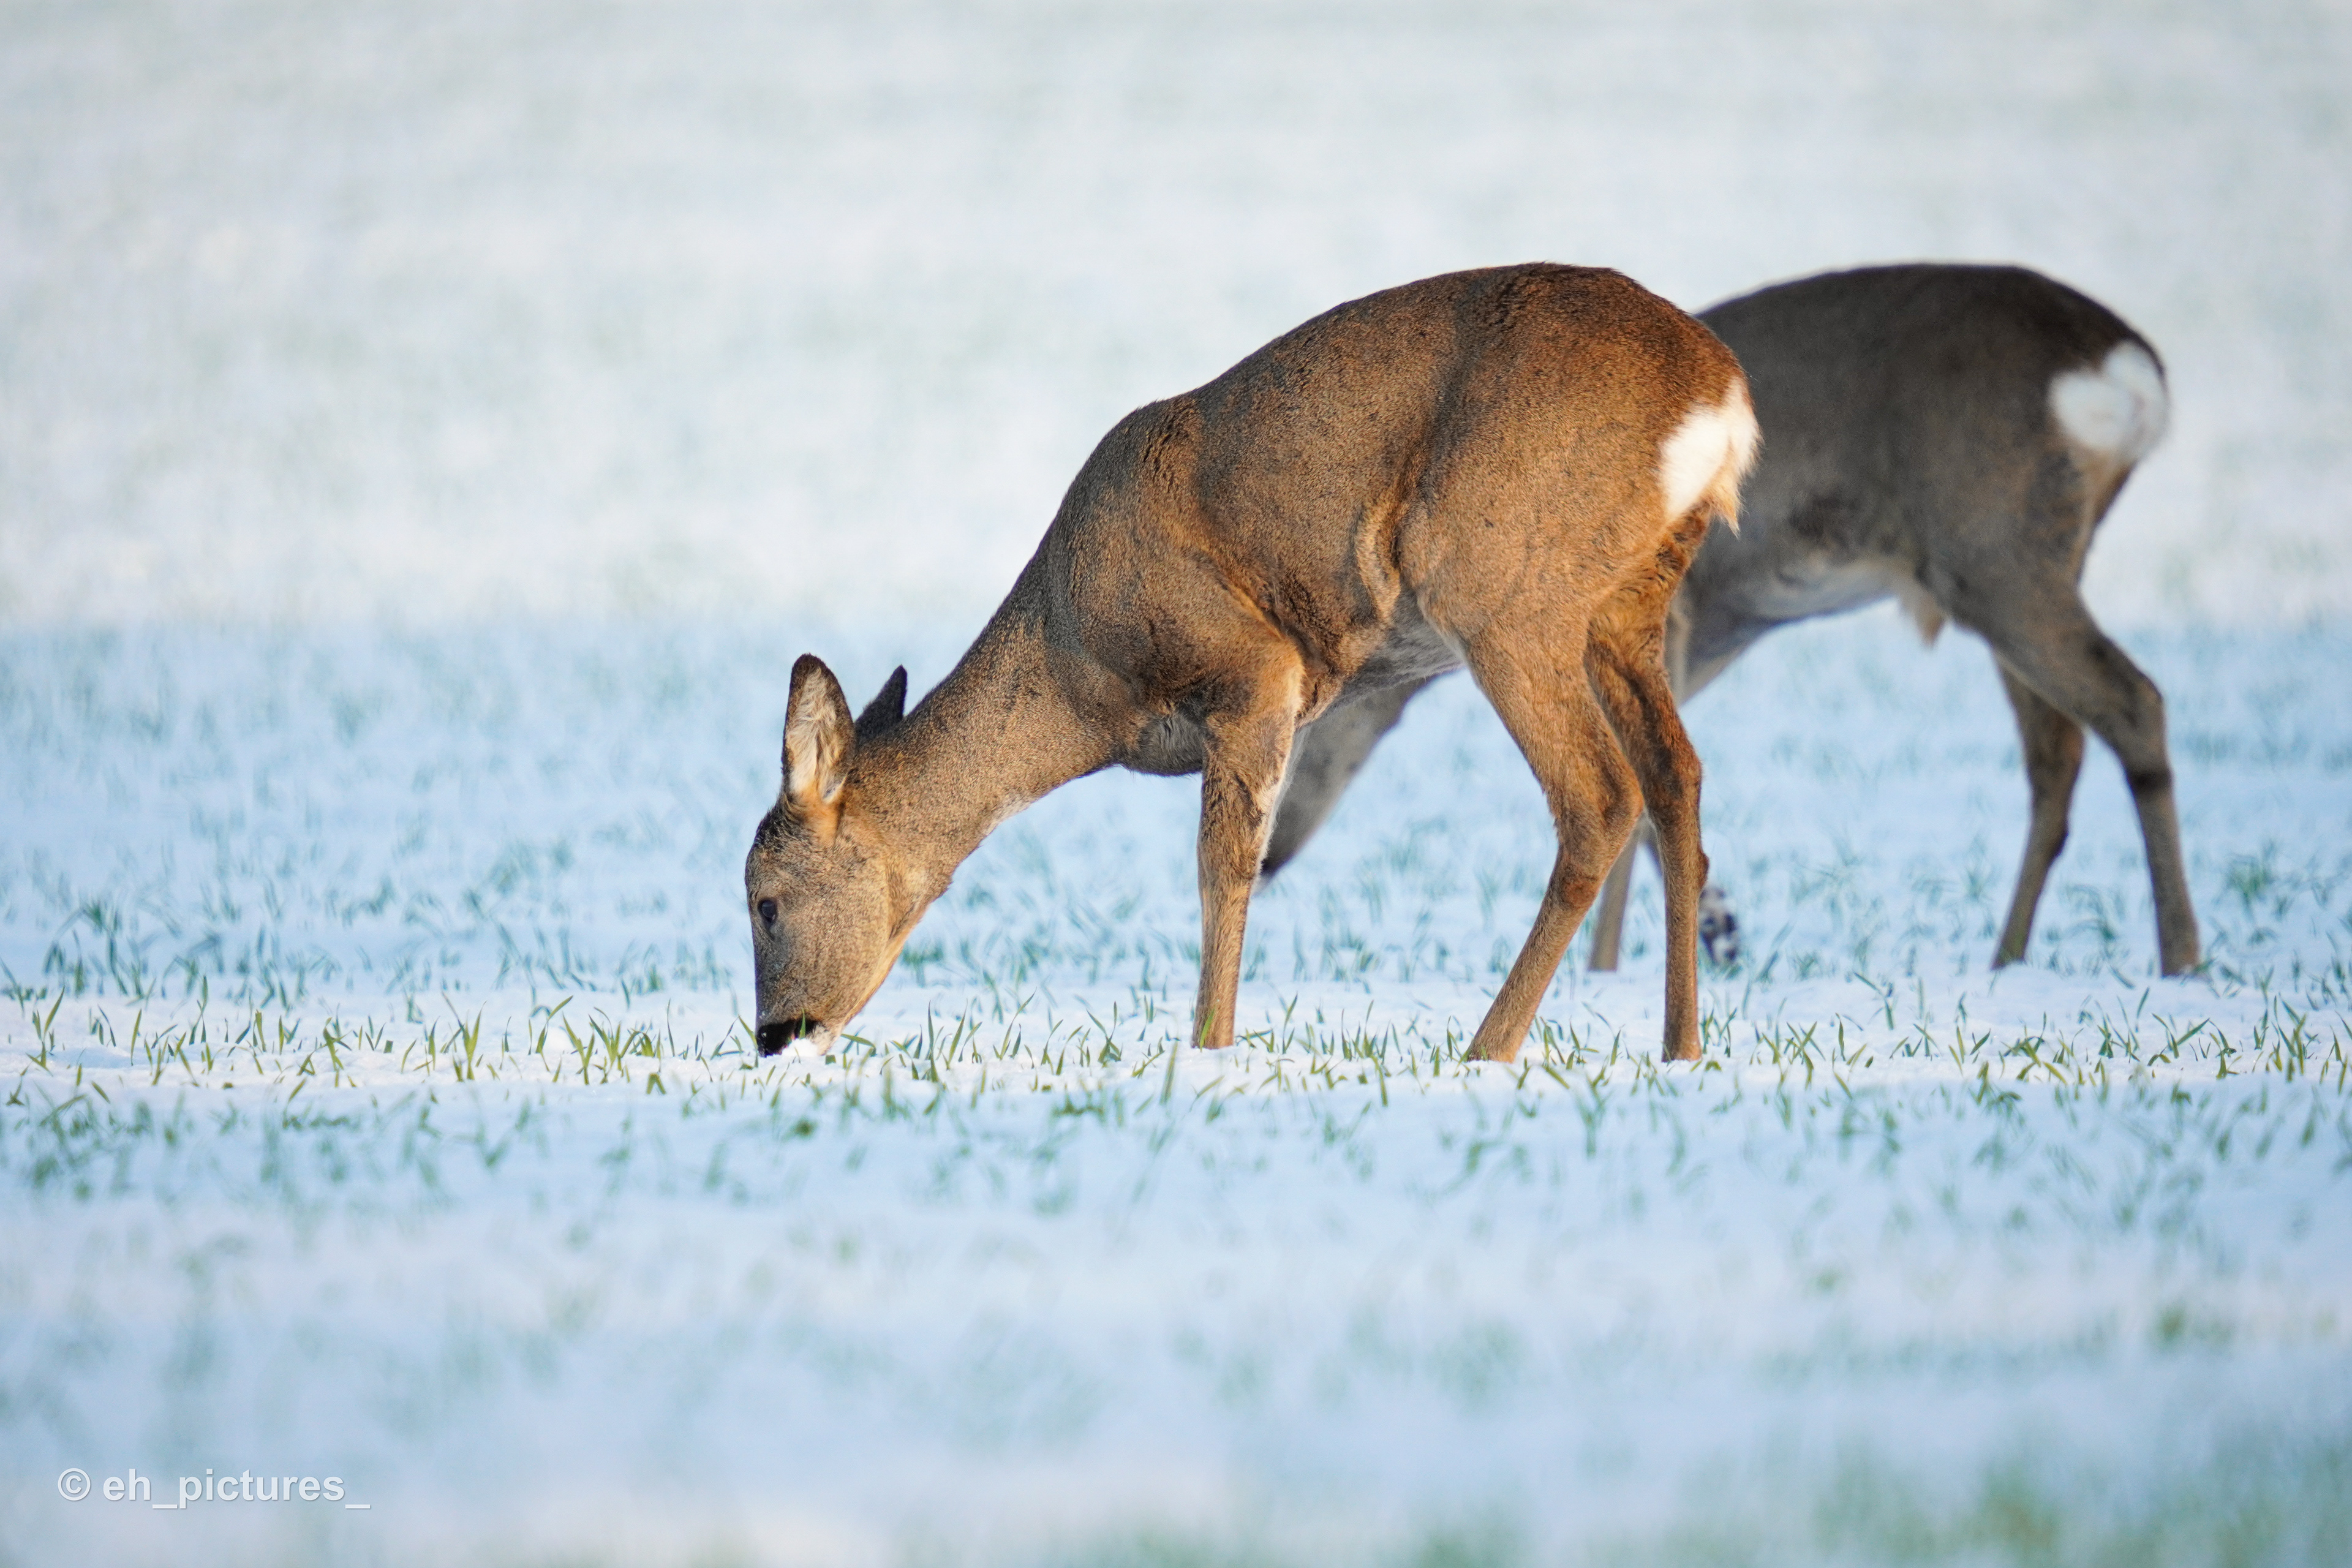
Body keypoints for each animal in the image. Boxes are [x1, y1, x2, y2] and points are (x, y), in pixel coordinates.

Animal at [745, 263, 1757, 1066]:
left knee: (1600, 796)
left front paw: (1209, 1051)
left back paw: (1487, 1050)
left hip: (1500, 582)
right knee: (1677, 778)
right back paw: (1681, 1047)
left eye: (763, 900)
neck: (1080, 673)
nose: (773, 1035)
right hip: (1624, 608)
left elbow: (1222, 868)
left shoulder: (1252, 667)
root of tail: (1722, 397)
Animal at [1256, 263, 2201, 981]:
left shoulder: (1664, 622)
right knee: (2058, 750)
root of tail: (2130, 373)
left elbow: (1641, 800)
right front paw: (1713, 932)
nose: (1267, 858)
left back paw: (2180, 957)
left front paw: (1612, 969)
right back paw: (2009, 959)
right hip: (2024, 564)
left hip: (1995, 551)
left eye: (1303, 732)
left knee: (2133, 701)